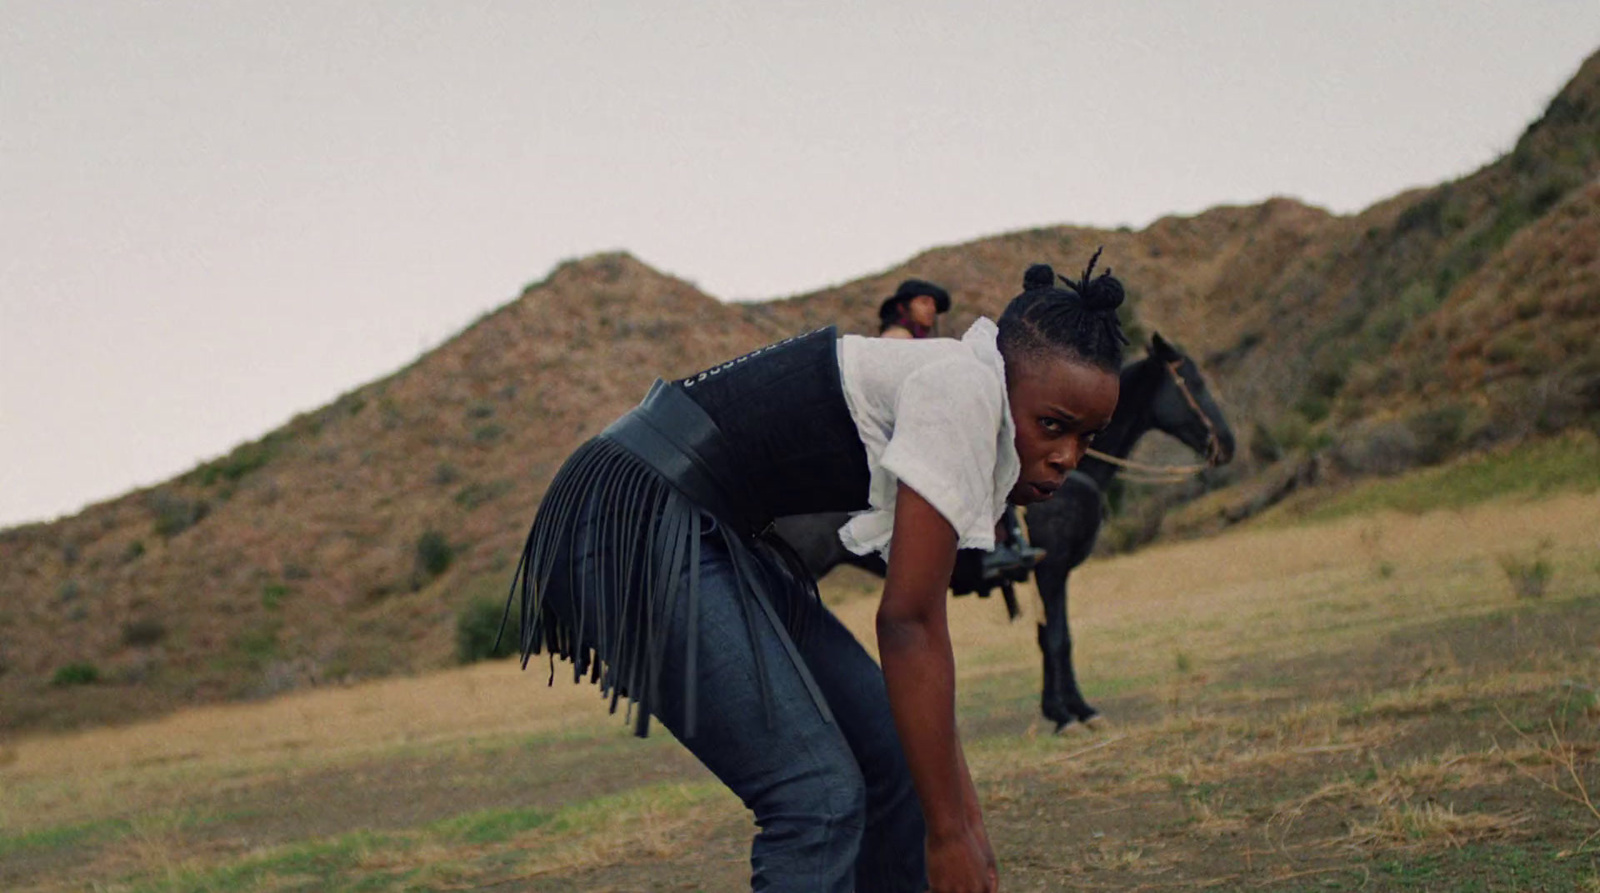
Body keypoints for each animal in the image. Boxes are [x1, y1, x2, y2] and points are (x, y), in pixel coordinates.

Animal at [774, 332, 1235, 732]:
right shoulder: (1053, 568)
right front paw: (1072, 713)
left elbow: (1051, 635)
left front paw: (1062, 708)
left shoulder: (1048, 572)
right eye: (1193, 382)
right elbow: (1058, 638)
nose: (1227, 444)